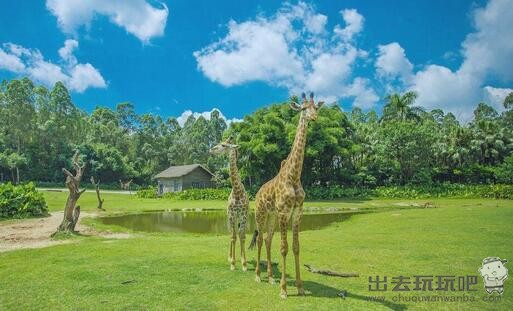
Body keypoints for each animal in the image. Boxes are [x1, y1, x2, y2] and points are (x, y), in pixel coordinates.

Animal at [208, 138, 248, 272]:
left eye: (224, 145)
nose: (211, 149)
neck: (237, 191)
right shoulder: (231, 214)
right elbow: (233, 236)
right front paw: (233, 263)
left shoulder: (243, 215)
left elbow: (242, 236)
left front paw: (244, 264)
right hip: (230, 217)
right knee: (231, 233)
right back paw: (230, 257)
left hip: (238, 218)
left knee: (237, 233)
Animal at [249, 93, 324, 300]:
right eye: (303, 109)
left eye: (316, 108)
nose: (314, 118)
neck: (294, 176)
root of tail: (257, 193)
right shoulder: (284, 212)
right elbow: (284, 248)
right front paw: (284, 290)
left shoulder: (297, 213)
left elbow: (296, 247)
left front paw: (299, 287)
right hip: (261, 214)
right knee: (260, 239)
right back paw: (258, 276)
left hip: (272, 216)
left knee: (268, 239)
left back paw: (270, 277)